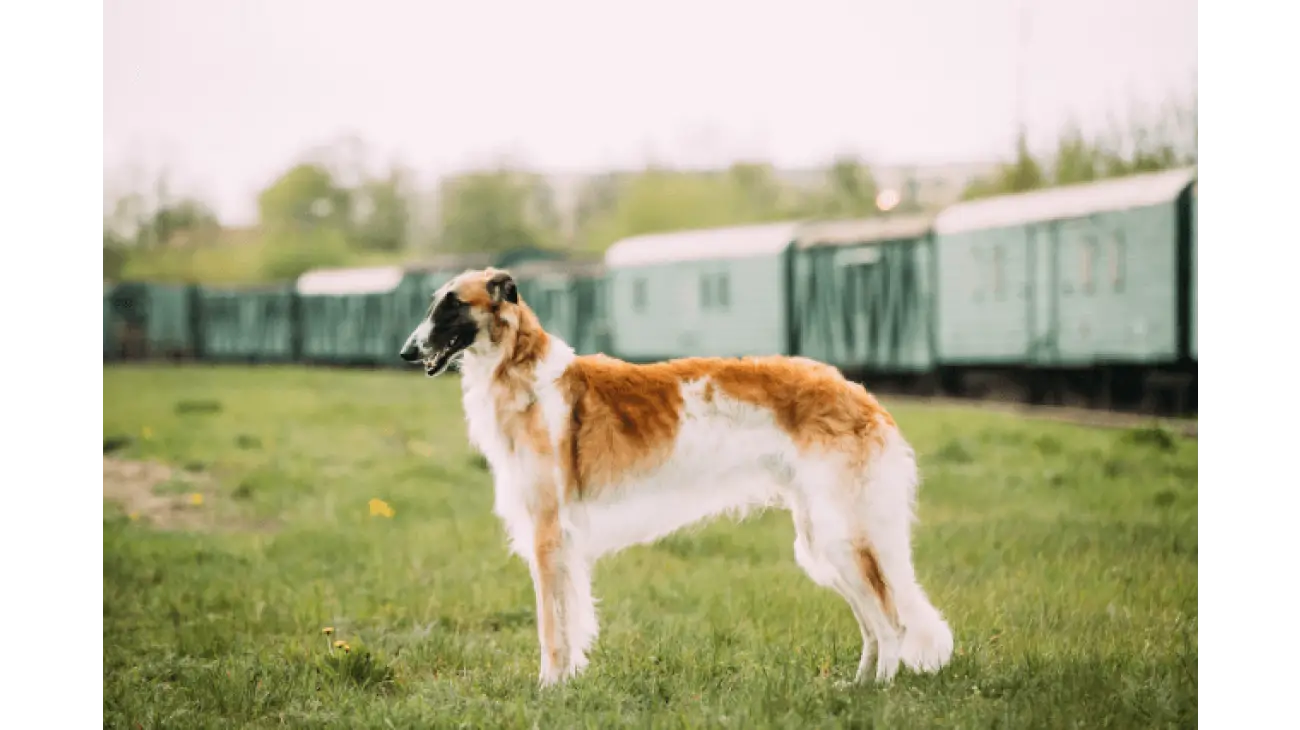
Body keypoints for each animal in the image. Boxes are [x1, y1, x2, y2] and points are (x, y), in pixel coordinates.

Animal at [397, 266, 956, 680]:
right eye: (434, 302)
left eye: (452, 303)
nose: (406, 351)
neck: (525, 373)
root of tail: (864, 396)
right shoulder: (563, 543)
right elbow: (570, 625)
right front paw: (569, 684)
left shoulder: (547, 533)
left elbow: (551, 633)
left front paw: (548, 690)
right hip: (823, 540)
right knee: (876, 625)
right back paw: (855, 686)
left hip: (844, 535)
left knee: (892, 624)